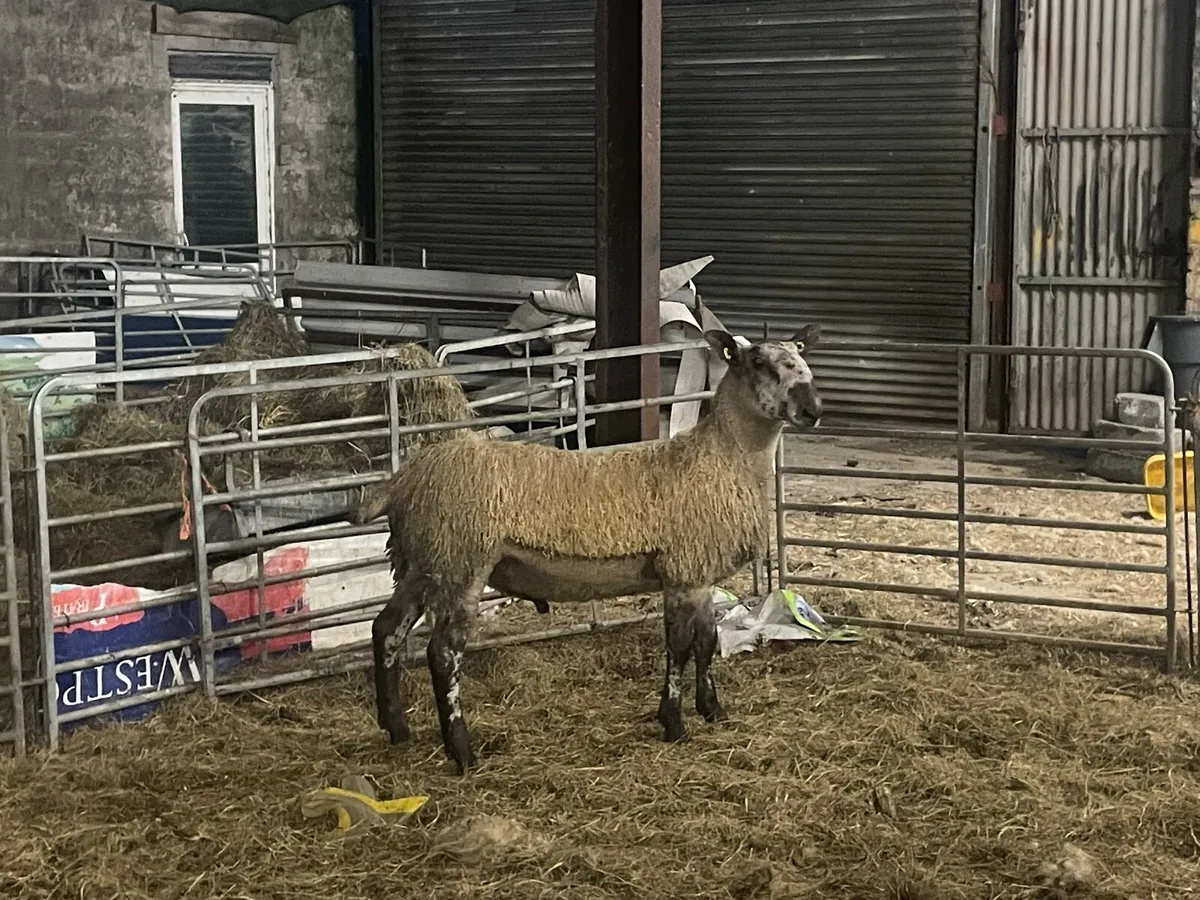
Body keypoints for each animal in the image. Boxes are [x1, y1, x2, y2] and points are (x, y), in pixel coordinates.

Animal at [360, 326, 823, 773]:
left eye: (802, 356)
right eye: (758, 362)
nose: (813, 409)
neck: (724, 458)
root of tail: (405, 479)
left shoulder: (699, 574)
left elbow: (706, 643)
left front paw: (713, 710)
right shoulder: (682, 572)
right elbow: (679, 648)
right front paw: (674, 723)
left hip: (423, 562)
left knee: (386, 629)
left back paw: (396, 727)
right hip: (461, 564)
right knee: (442, 653)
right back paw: (462, 752)